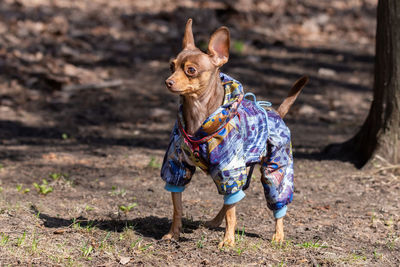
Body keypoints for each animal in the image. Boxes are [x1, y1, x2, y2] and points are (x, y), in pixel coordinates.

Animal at [160, 19, 306, 249]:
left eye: (191, 70)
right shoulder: (177, 166)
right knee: (235, 197)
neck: (198, 115)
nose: (168, 81)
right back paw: (215, 221)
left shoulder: (227, 168)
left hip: (276, 168)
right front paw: (173, 233)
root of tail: (276, 113)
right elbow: (178, 207)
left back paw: (279, 234)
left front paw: (228, 240)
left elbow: (232, 212)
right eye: (171, 66)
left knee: (273, 199)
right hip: (243, 168)